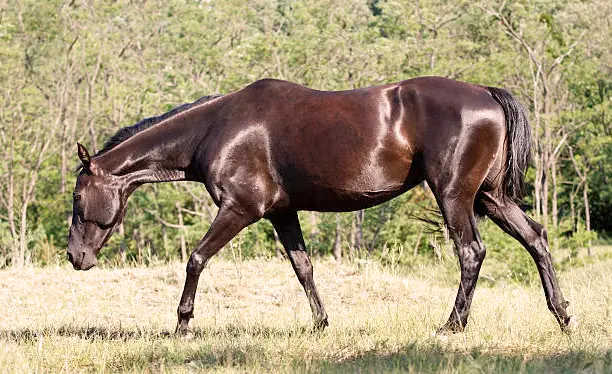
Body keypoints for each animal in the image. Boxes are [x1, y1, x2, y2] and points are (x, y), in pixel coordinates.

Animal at [69, 76, 576, 336]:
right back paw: (562, 315)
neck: (218, 128)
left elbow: (195, 258)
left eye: (76, 197)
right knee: (535, 238)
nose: (76, 257)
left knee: (471, 254)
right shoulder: (281, 212)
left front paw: (182, 326)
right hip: (491, 196)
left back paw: (452, 326)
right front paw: (321, 324)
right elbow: (303, 267)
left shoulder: (241, 209)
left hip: (455, 195)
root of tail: (487, 93)